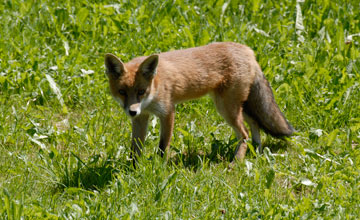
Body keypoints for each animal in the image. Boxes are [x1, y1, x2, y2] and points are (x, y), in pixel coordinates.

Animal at [105, 42, 296, 163]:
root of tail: (247, 50)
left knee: (245, 134)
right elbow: (135, 149)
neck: (155, 86)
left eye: (141, 92)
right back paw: (256, 150)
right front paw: (134, 170)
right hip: (238, 106)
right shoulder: (141, 117)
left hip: (226, 108)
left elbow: (163, 146)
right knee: (254, 125)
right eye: (122, 92)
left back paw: (236, 162)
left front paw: (157, 168)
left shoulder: (167, 112)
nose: (131, 111)